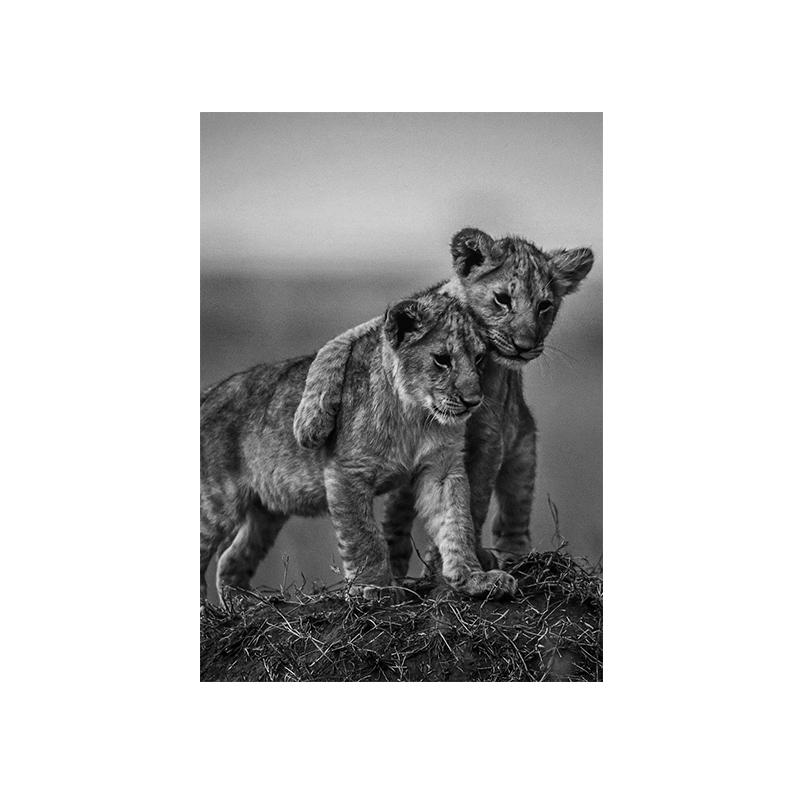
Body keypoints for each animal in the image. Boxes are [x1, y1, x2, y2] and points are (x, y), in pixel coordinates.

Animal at [200, 292, 518, 603]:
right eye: (442, 359)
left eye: (479, 358)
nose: (473, 401)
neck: (415, 415)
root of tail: (208, 393)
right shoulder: (346, 471)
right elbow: (363, 535)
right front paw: (374, 587)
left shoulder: (442, 469)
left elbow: (456, 522)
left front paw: (474, 579)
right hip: (216, 502)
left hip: (266, 512)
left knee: (231, 559)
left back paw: (246, 605)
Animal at [291, 228, 594, 576]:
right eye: (502, 299)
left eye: (545, 306)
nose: (525, 345)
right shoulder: (387, 325)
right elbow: (335, 346)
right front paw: (310, 422)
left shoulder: (489, 437)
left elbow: (472, 501)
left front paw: (456, 560)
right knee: (397, 516)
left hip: (523, 450)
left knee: (513, 514)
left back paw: (513, 557)